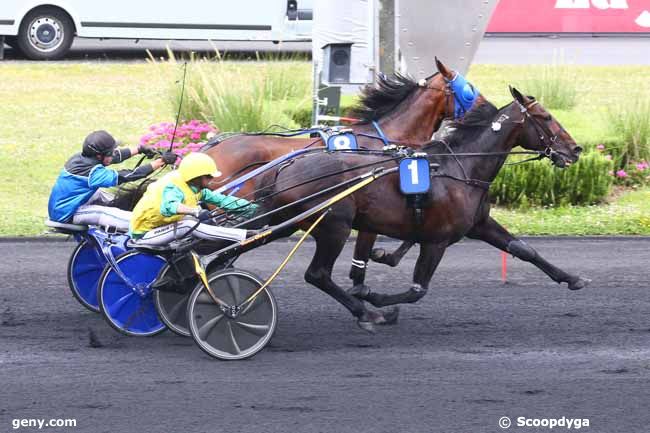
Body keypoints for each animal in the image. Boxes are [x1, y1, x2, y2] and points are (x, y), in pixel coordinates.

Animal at [256, 88, 584, 330]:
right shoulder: (437, 239)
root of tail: (285, 167)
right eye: (546, 116)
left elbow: (523, 249)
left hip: (288, 220)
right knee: (318, 274)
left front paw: (572, 278)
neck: (461, 167)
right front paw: (374, 298)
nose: (575, 149)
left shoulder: (479, 224)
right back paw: (368, 314)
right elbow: (417, 289)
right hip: (334, 226)